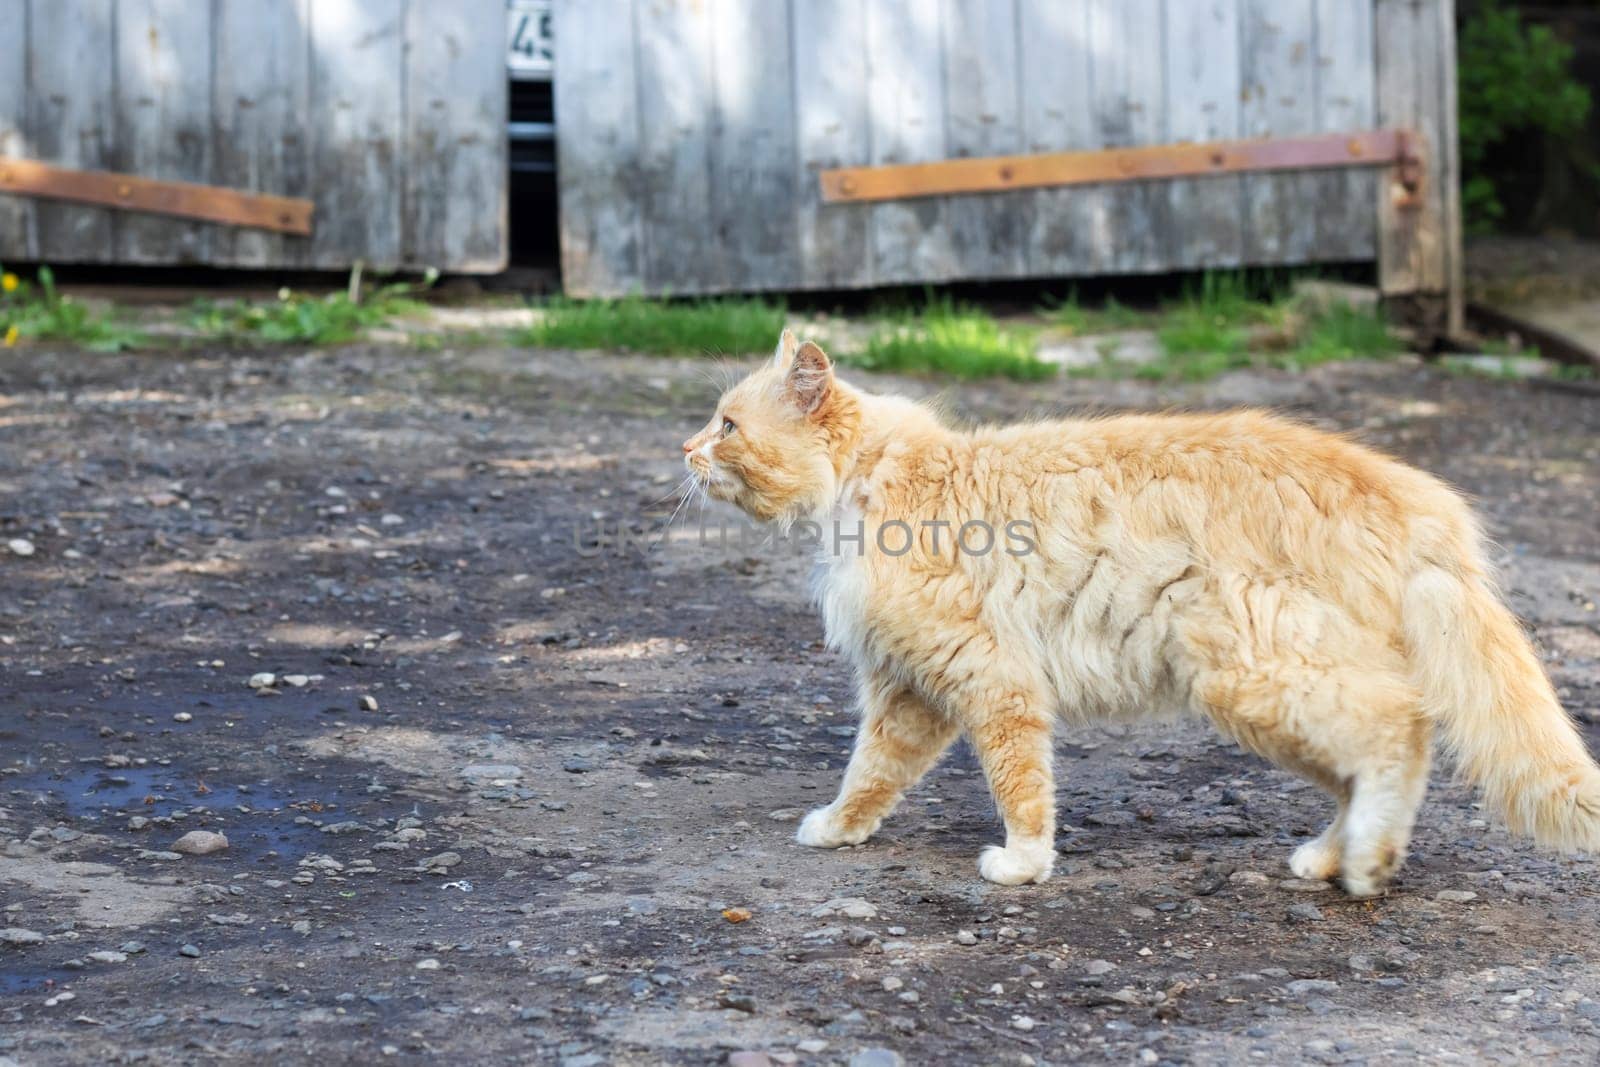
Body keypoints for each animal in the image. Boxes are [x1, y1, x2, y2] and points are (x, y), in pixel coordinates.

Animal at [684, 329, 1600, 895]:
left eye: (727, 425)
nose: (684, 449)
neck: (876, 483)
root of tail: (1414, 495)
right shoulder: (907, 691)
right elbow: (870, 772)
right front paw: (840, 829)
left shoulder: (992, 679)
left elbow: (1020, 786)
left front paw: (1023, 865)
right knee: (1369, 756)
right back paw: (1329, 857)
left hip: (1249, 675)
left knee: (1400, 731)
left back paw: (1371, 862)